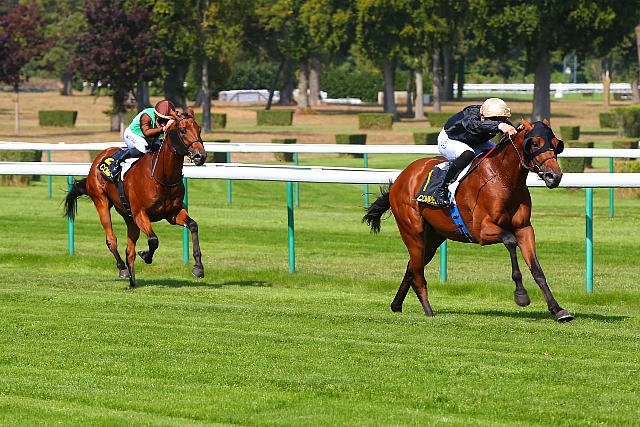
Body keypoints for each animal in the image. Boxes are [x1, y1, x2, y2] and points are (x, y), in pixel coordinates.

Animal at [64, 108, 207, 288]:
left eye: (199, 129)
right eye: (182, 130)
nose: (200, 156)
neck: (162, 176)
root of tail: (98, 158)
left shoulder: (173, 213)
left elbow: (193, 226)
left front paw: (198, 268)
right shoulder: (140, 213)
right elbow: (153, 240)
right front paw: (145, 255)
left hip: (128, 216)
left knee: (129, 250)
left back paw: (132, 280)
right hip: (101, 201)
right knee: (111, 239)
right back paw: (123, 269)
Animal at [363, 119, 573, 322]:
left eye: (556, 144)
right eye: (535, 143)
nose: (554, 176)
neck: (502, 178)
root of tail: (401, 178)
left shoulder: (524, 228)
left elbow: (537, 270)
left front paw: (558, 310)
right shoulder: (482, 231)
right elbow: (510, 240)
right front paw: (521, 295)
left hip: (433, 237)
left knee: (413, 267)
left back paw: (396, 305)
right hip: (412, 232)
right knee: (418, 273)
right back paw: (429, 311)